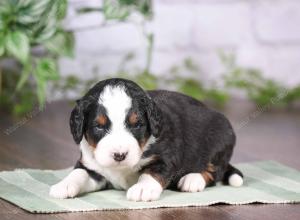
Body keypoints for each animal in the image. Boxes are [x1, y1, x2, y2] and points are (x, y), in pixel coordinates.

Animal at [49, 78, 244, 202]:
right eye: (99, 126)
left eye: (137, 124)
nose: (119, 155)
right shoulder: (92, 166)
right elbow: (78, 173)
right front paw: (63, 185)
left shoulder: (167, 156)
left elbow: (151, 172)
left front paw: (143, 189)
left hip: (221, 139)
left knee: (214, 171)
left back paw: (192, 179)